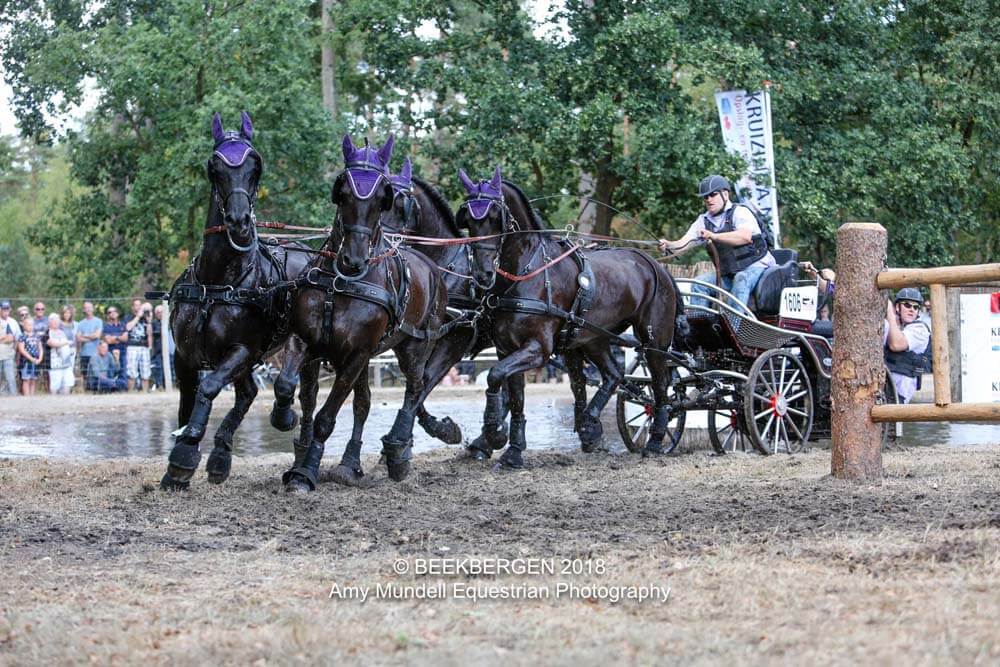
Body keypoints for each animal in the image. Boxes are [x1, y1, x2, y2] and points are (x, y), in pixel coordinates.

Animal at [159, 112, 312, 490]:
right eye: (214, 166)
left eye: (255, 165)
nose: (240, 221)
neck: (217, 282)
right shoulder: (184, 355)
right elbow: (188, 400)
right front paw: (179, 465)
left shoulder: (241, 350)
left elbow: (210, 386)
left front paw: (186, 451)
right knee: (247, 393)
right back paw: (221, 454)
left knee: (293, 388)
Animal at [276, 134, 449, 492]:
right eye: (342, 191)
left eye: (382, 197)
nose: (353, 260)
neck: (341, 283)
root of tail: (432, 269)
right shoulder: (305, 341)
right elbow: (289, 388)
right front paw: (285, 421)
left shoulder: (356, 355)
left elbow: (326, 418)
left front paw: (306, 471)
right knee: (359, 401)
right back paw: (349, 462)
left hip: (414, 346)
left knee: (415, 387)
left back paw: (398, 451)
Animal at [456, 167, 686, 468]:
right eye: (469, 222)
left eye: (496, 217)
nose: (482, 275)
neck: (526, 272)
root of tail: (656, 265)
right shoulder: (507, 348)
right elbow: (514, 395)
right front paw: (513, 450)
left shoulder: (538, 349)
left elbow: (494, 377)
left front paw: (493, 432)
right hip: (593, 337)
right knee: (613, 374)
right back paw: (589, 424)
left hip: (654, 340)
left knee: (660, 385)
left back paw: (655, 440)